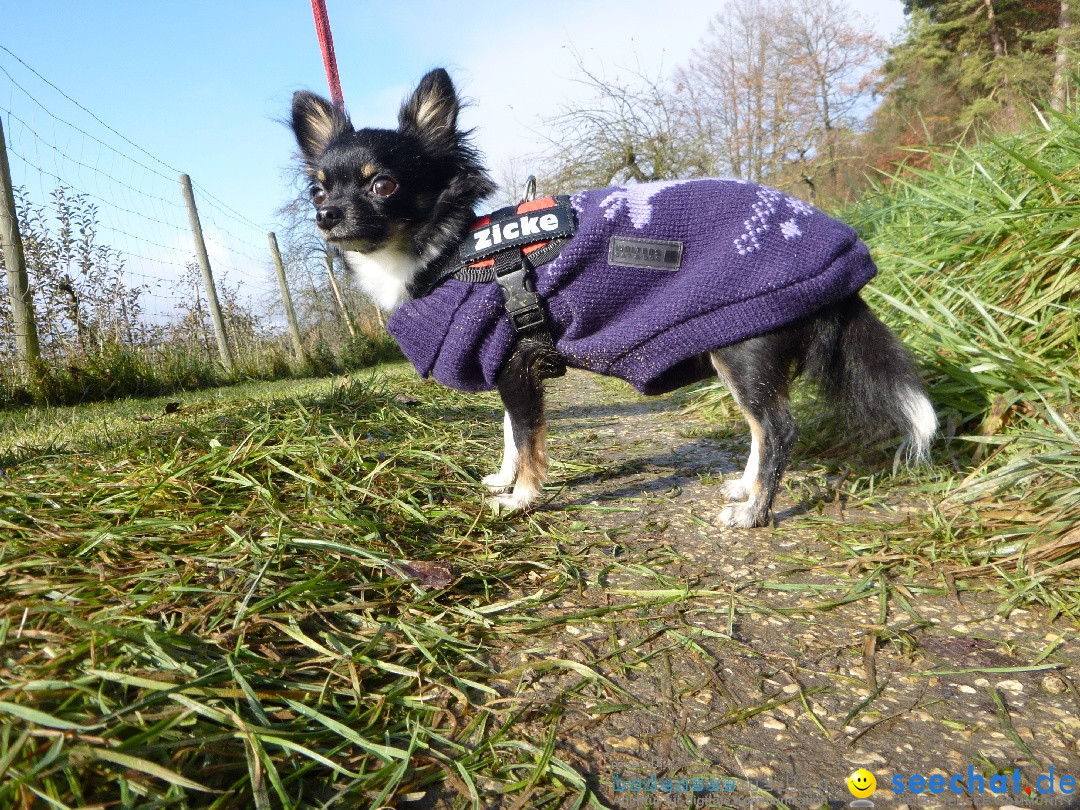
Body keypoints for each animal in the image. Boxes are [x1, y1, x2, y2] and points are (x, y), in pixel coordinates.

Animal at [289, 68, 937, 527]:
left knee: (778, 430)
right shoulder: (505, 367)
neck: (452, 250)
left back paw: (754, 512)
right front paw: (503, 479)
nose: (326, 216)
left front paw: (522, 500)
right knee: (762, 431)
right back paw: (744, 488)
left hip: (744, 346)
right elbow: (511, 432)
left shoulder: (516, 363)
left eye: (383, 184)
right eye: (317, 190)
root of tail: (836, 255)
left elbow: (529, 439)